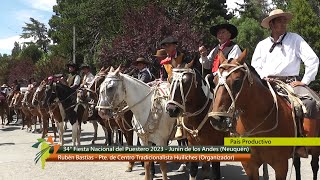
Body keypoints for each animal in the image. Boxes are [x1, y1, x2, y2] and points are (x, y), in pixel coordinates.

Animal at [209, 50, 320, 180]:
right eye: (215, 81)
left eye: (237, 81)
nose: (216, 119)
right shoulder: (249, 165)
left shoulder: (281, 165)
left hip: (315, 148)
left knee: (314, 166)